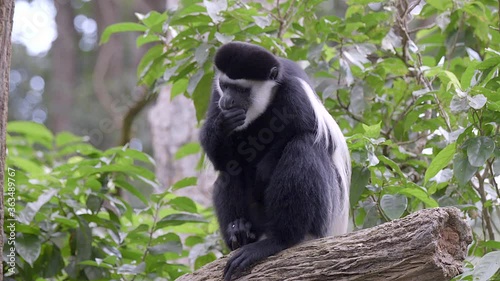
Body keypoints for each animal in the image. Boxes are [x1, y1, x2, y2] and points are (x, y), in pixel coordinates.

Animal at [200, 41, 352, 278]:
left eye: (242, 90)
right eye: (225, 86)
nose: (227, 101)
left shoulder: (296, 93)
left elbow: (309, 131)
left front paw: (265, 169)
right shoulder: (215, 97)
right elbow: (220, 158)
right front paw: (225, 124)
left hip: (323, 214)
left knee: (304, 147)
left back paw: (278, 240)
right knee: (230, 170)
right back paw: (239, 231)